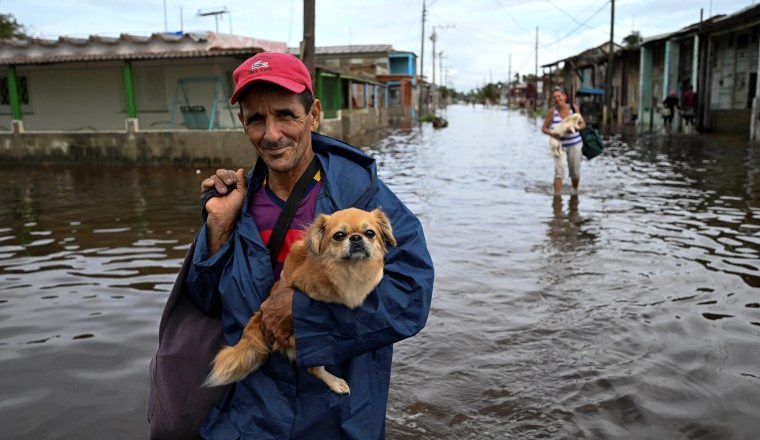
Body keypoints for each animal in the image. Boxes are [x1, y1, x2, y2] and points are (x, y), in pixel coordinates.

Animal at [205, 208, 394, 394]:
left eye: (370, 233)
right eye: (339, 235)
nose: (356, 237)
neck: (351, 268)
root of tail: (259, 316)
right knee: (313, 366)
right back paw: (335, 382)